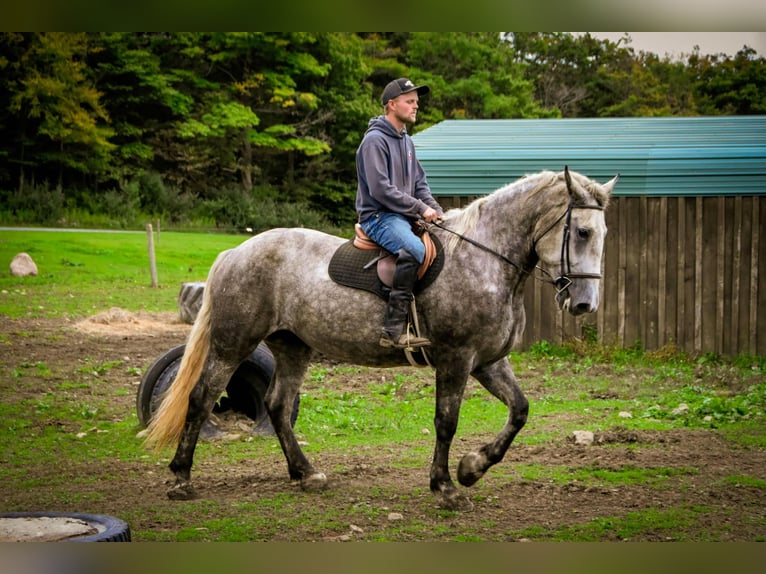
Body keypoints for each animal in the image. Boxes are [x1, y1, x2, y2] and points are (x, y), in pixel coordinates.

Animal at [147, 169, 620, 510]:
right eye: (581, 232)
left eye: (603, 234)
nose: (584, 304)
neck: (484, 260)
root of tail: (237, 252)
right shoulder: (456, 359)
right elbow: (446, 422)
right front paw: (446, 487)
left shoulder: (488, 362)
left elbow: (520, 410)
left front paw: (471, 468)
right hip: (233, 344)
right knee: (201, 398)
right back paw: (181, 479)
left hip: (292, 346)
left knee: (278, 406)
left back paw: (306, 474)